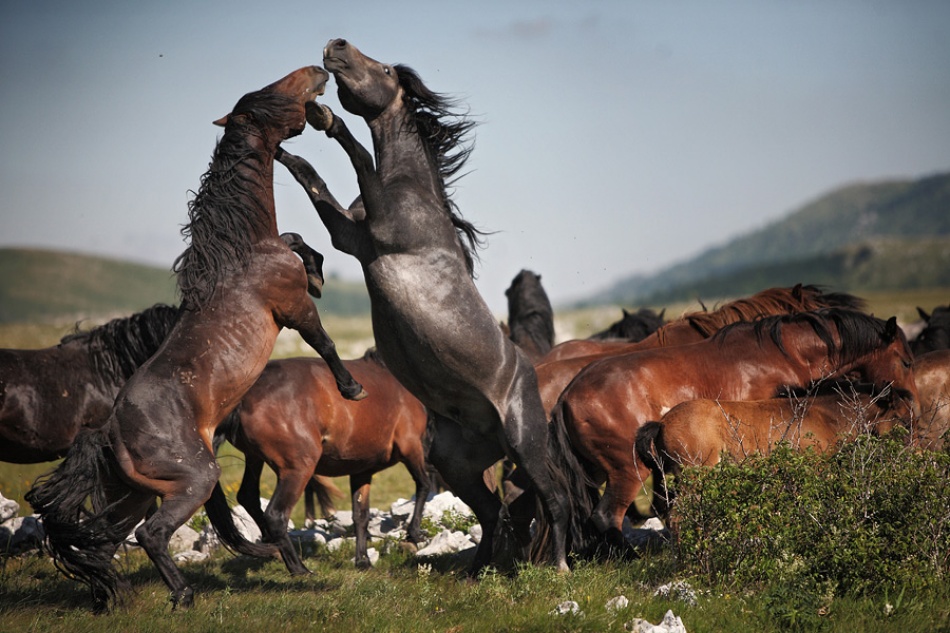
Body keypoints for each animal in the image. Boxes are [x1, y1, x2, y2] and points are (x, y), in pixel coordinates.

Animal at [27, 66, 366, 612]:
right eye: (271, 94)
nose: (317, 72)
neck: (242, 254)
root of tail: (108, 432)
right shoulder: (292, 309)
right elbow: (326, 342)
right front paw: (353, 387)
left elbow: (296, 240)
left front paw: (316, 270)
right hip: (194, 481)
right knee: (151, 534)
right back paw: (183, 594)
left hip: (136, 493)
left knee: (103, 539)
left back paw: (111, 595)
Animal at [204, 348, 431, 573]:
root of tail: (241, 398)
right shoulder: (411, 446)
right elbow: (423, 485)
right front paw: (414, 534)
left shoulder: (361, 471)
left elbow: (361, 516)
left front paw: (363, 560)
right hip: (298, 469)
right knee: (275, 515)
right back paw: (298, 568)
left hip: (255, 458)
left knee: (248, 496)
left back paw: (273, 547)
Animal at [276, 39, 588, 573]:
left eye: (383, 69)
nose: (336, 45)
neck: (411, 188)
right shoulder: (351, 238)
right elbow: (309, 182)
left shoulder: (379, 229)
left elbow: (357, 154)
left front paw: (325, 118)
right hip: (457, 464)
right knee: (493, 513)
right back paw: (475, 571)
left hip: (524, 446)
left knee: (555, 500)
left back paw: (560, 567)